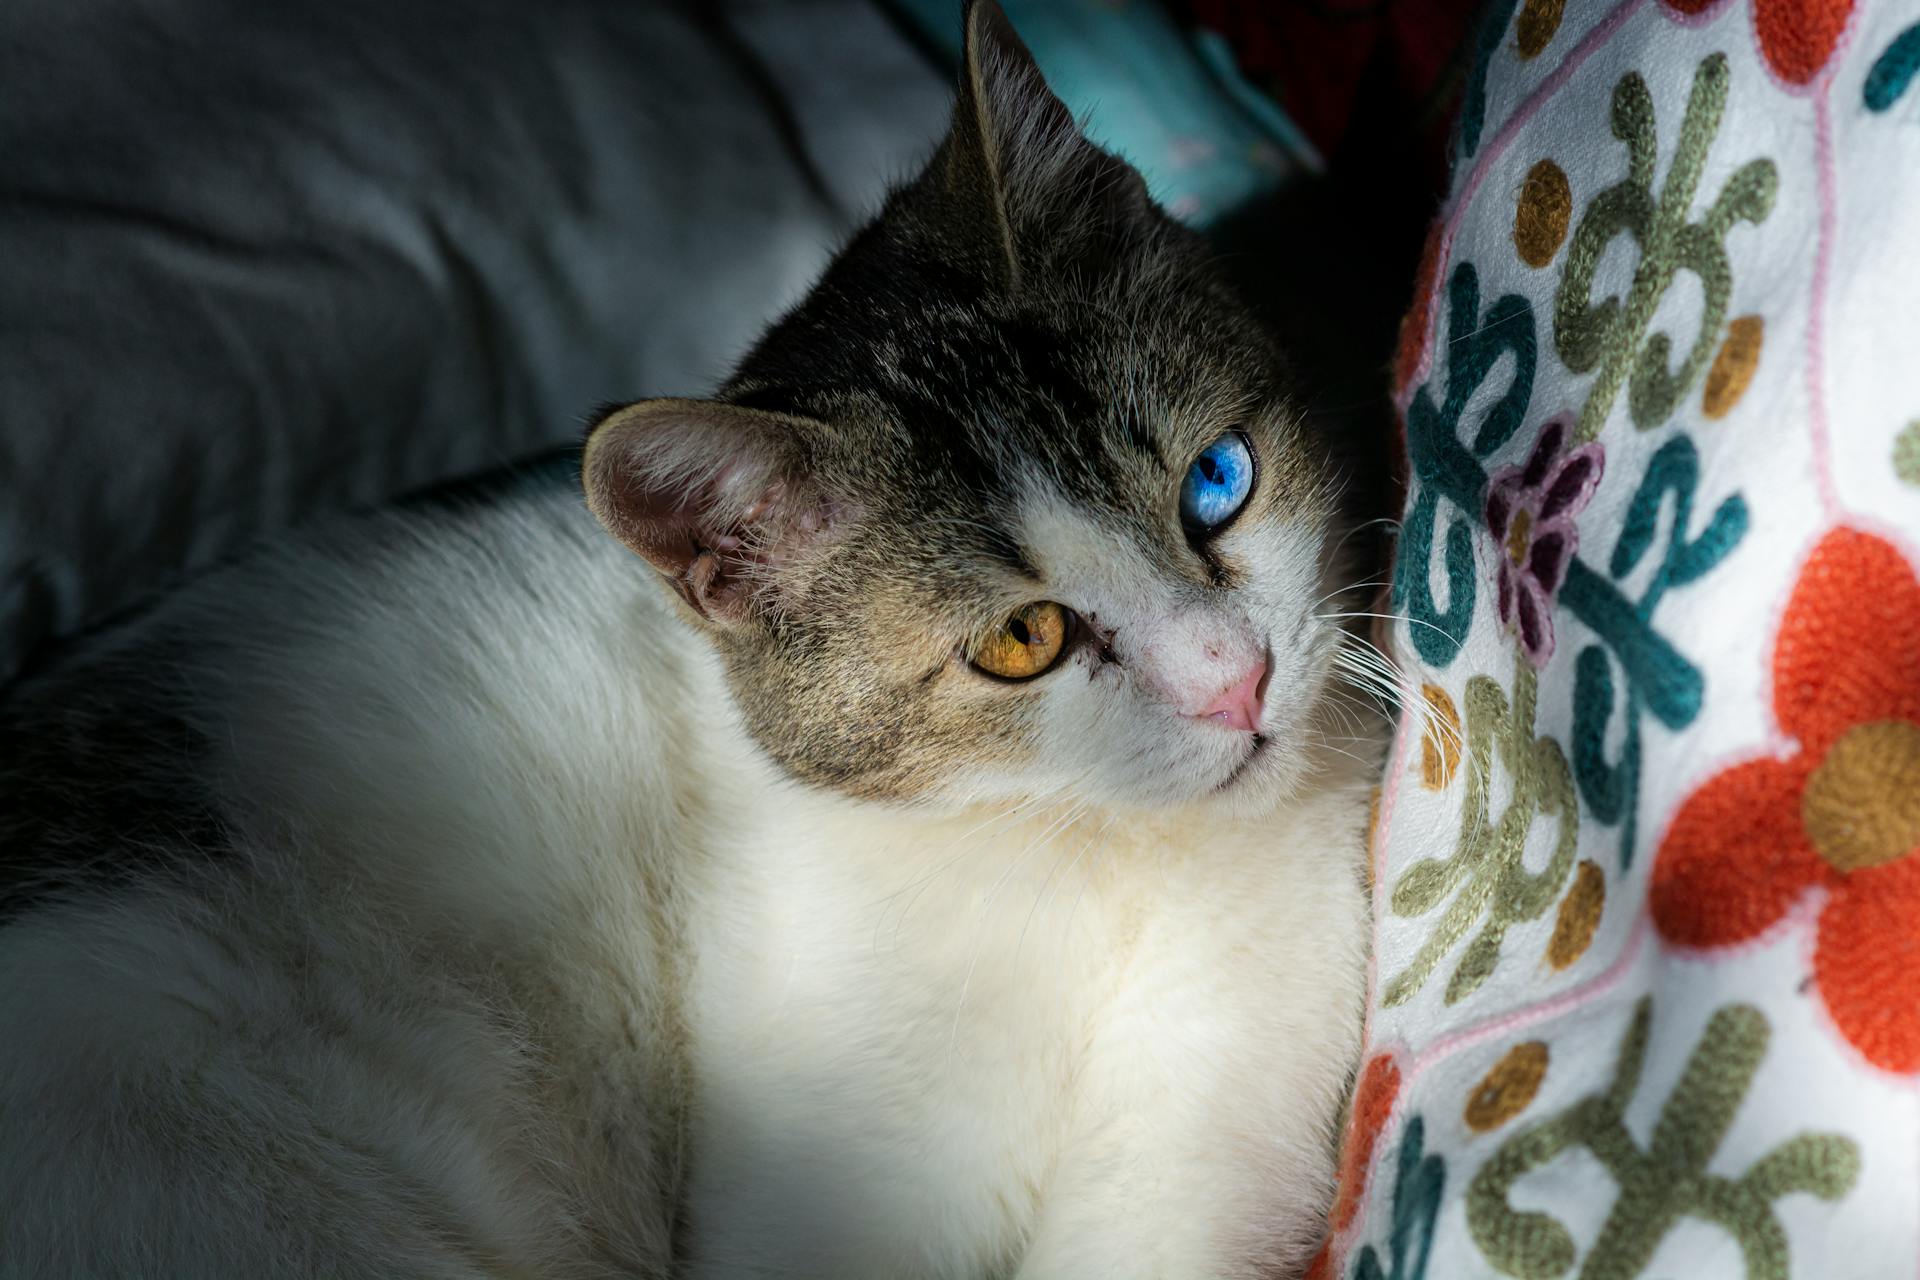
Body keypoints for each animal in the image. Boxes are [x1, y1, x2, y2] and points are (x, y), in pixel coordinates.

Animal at [0, 5, 1382, 1274]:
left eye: (1218, 481)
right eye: (1021, 639)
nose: (1237, 679)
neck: (1087, 856)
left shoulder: (1213, 1104)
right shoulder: (834, 1190)